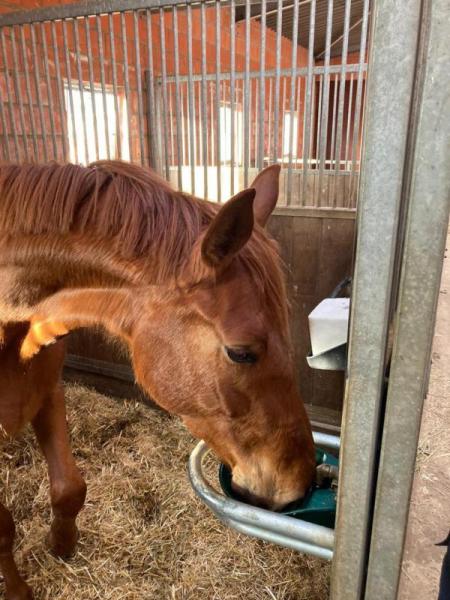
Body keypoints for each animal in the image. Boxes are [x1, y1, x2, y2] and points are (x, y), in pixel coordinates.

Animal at [0, 161, 314, 600]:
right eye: (241, 352)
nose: (300, 484)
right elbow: (3, 527)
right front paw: (17, 590)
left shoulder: (46, 393)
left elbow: (69, 489)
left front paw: (61, 545)